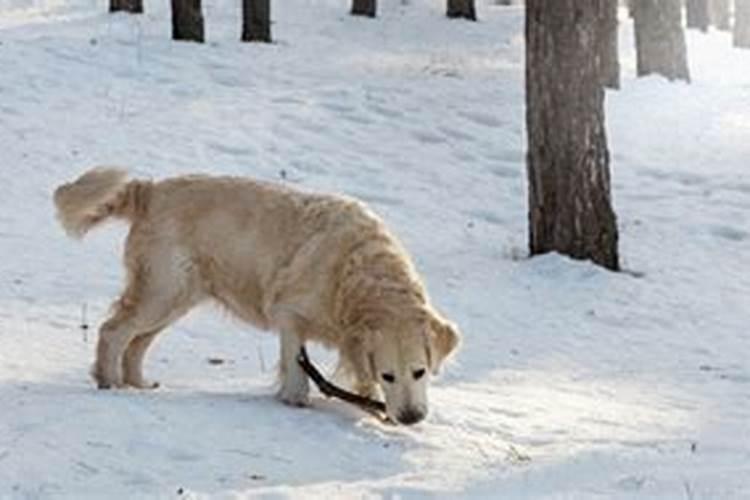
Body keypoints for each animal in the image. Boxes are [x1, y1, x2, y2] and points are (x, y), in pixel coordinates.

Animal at [53, 168, 462, 426]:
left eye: (420, 372)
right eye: (390, 374)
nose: (411, 418)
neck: (355, 271)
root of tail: (150, 190)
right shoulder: (289, 312)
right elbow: (296, 362)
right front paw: (296, 400)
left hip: (176, 297)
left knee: (136, 343)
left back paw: (138, 384)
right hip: (162, 291)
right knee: (114, 331)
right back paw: (110, 383)